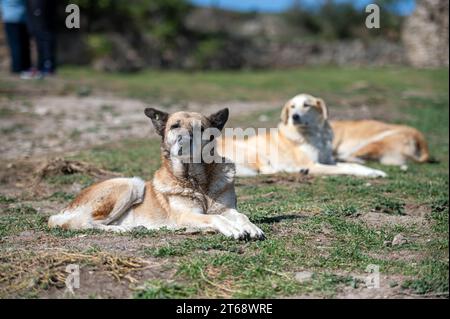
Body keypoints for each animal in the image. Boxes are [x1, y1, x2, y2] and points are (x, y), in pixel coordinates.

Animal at [47, 108, 266, 240]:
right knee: (85, 223)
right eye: (174, 126)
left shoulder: (227, 209)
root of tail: (65, 208)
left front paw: (251, 227)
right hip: (130, 184)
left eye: (200, 128)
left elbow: (241, 215)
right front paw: (232, 228)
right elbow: (216, 219)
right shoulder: (187, 215)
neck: (196, 182)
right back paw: (122, 228)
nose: (183, 140)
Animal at [218, 94, 386, 179]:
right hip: (252, 151)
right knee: (268, 171)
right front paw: (368, 173)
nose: (295, 116)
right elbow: (346, 168)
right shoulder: (314, 164)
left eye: (306, 105)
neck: (315, 136)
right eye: (292, 107)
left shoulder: (328, 161)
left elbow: (353, 165)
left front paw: (375, 171)